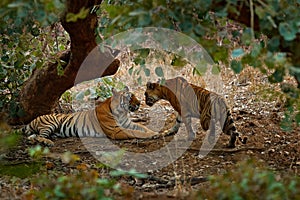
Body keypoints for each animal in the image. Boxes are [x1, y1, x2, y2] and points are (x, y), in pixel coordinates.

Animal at [23, 86, 159, 146]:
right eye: (129, 97)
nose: (140, 103)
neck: (121, 112)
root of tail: (33, 120)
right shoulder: (116, 130)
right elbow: (136, 132)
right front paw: (151, 135)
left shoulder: (129, 123)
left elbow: (143, 128)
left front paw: (155, 132)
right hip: (50, 124)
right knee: (39, 136)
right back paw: (48, 142)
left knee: (32, 136)